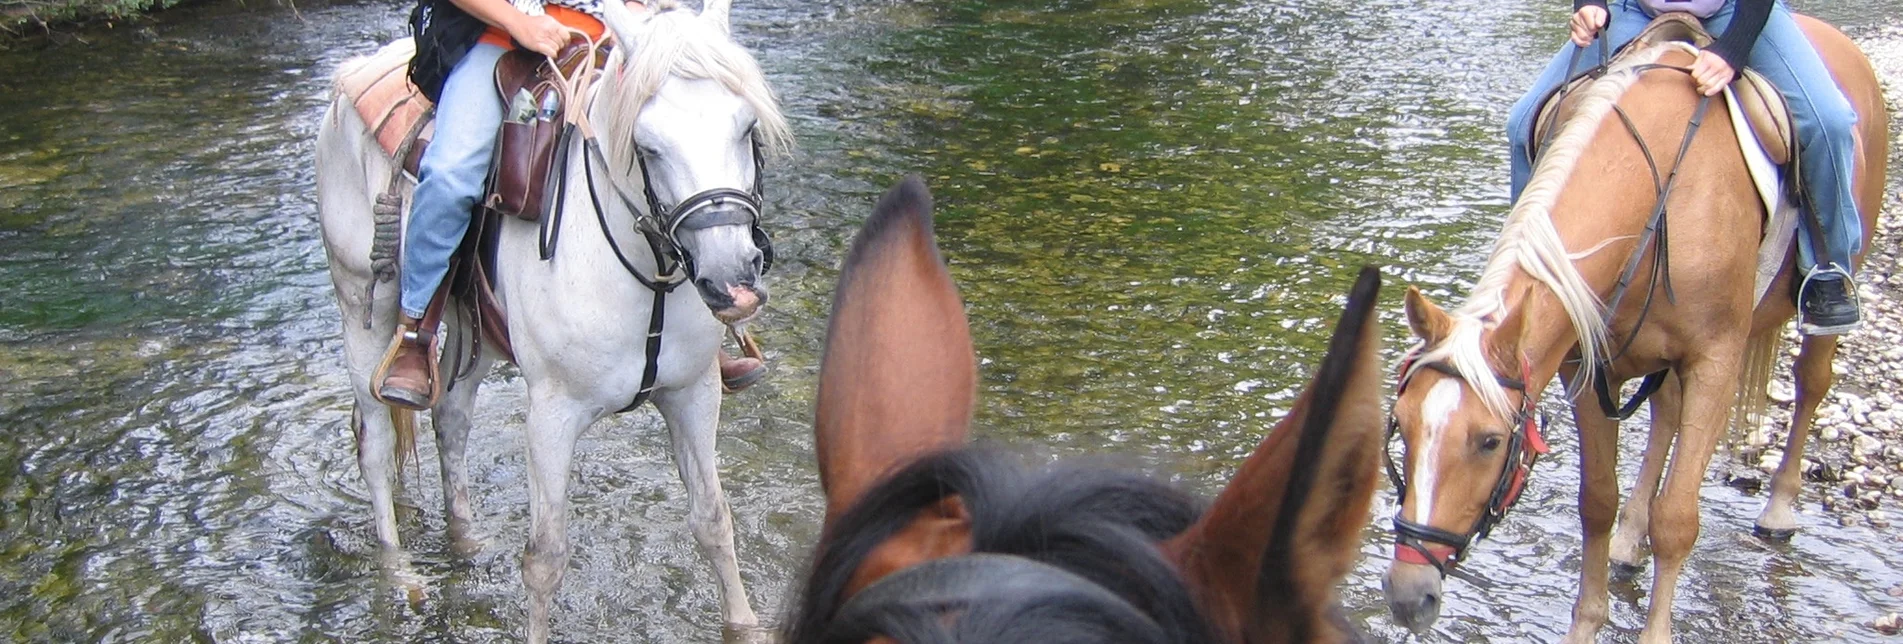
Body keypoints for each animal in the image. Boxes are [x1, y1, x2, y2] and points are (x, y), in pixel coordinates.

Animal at [312, 0, 787, 640]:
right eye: (647, 145)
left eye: (745, 127)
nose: (731, 279)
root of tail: (351, 78)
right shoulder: (551, 417)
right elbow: (545, 558)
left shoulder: (694, 392)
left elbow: (712, 519)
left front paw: (744, 624)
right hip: (362, 305)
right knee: (376, 443)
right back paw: (400, 574)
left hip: (474, 327)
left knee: (450, 417)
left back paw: (466, 540)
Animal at [1385, 11, 1887, 644]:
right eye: (1402, 425)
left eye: (1489, 440)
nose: (1408, 595)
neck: (1657, 192)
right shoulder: (1584, 368)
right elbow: (1596, 501)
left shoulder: (1715, 362)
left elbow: (1677, 519)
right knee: (1666, 414)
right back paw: (1629, 541)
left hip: (1839, 279)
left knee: (1811, 382)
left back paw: (1778, 509)